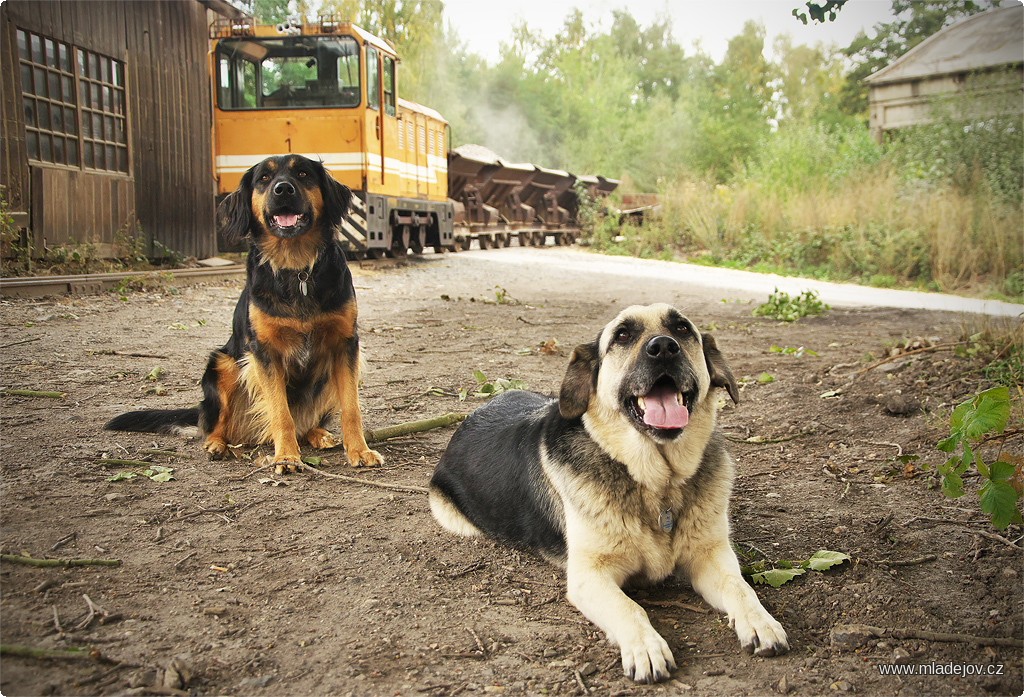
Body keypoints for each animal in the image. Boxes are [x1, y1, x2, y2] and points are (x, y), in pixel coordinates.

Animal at [105, 155, 382, 472]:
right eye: (264, 178)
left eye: (303, 173)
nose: (283, 189)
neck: (296, 268)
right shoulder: (264, 352)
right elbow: (280, 413)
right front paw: (286, 456)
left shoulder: (345, 345)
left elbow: (351, 408)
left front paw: (359, 450)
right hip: (223, 365)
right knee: (216, 424)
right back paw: (216, 444)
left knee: (307, 422)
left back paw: (318, 433)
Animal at [428, 302, 786, 679]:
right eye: (622, 335)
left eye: (682, 328)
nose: (663, 347)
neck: (658, 482)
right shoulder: (590, 575)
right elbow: (628, 607)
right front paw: (646, 647)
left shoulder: (710, 555)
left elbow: (740, 587)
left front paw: (760, 621)